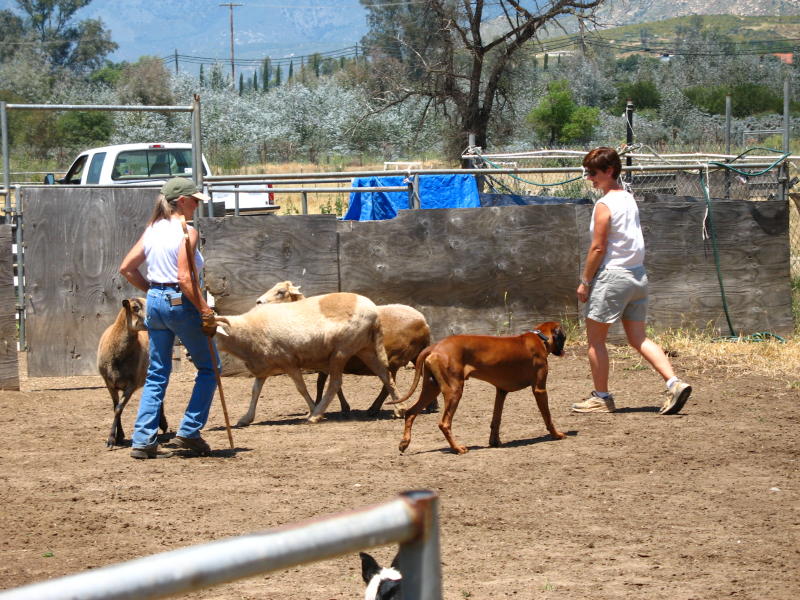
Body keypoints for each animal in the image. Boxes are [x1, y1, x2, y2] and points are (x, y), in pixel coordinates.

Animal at [98, 298, 169, 446]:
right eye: (135, 307)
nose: (155, 318)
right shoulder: (109, 384)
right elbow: (115, 408)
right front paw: (118, 436)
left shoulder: (131, 385)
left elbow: (119, 409)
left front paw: (111, 439)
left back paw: (163, 425)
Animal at [212, 292, 400, 424]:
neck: (246, 333)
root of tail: (374, 311)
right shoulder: (263, 368)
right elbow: (255, 392)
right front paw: (246, 418)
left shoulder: (288, 361)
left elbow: (301, 388)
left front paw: (311, 409)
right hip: (364, 348)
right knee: (385, 375)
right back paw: (399, 408)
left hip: (342, 350)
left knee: (335, 383)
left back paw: (316, 415)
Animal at [256, 282, 432, 418]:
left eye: (281, 292)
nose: (258, 302)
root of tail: (423, 322)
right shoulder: (327, 362)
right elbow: (325, 384)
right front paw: (332, 407)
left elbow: (325, 384)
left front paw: (324, 407)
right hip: (415, 355)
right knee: (423, 374)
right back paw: (430, 406)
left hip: (395, 358)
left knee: (387, 383)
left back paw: (376, 409)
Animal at [390, 322, 568, 452]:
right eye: (564, 337)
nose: (563, 352)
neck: (539, 337)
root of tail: (434, 347)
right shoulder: (539, 389)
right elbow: (548, 416)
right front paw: (557, 434)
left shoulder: (501, 391)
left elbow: (496, 419)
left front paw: (494, 441)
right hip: (454, 391)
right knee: (444, 423)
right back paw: (457, 448)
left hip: (431, 388)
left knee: (411, 412)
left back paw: (404, 443)